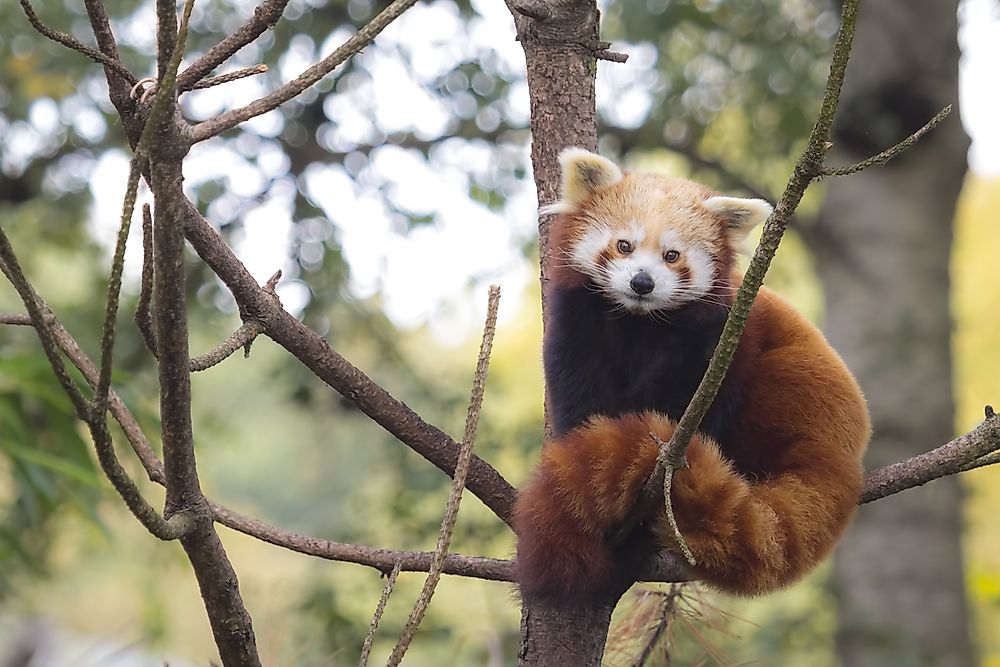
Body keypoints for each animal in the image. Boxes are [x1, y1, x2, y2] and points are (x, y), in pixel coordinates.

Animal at [512, 150, 872, 604]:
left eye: (672, 255)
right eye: (624, 245)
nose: (642, 282)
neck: (639, 323)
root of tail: (841, 452)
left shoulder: (719, 340)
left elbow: (693, 404)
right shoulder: (578, 325)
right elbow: (580, 395)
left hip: (786, 391)